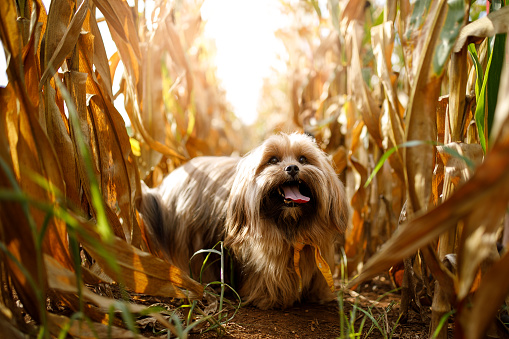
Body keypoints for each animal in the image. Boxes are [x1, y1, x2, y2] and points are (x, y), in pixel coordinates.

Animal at [140, 133, 350, 310]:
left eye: (303, 159)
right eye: (273, 160)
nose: (292, 168)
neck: (291, 225)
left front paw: (317, 296)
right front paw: (269, 298)